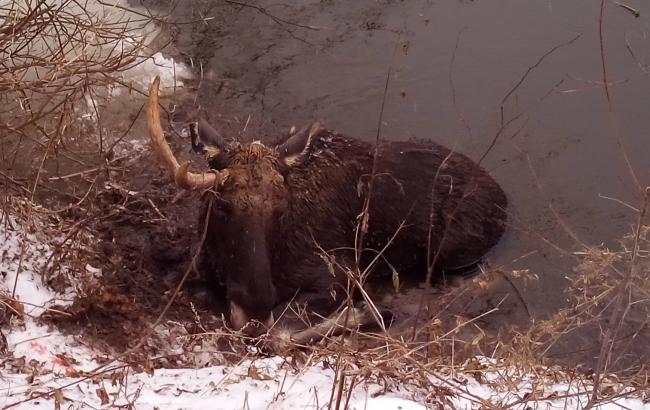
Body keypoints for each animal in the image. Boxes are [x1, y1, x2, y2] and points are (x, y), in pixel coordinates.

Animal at [147, 77, 506, 340]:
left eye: (281, 208)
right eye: (222, 206)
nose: (257, 299)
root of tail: (502, 201)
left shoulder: (340, 275)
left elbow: (280, 332)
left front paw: (366, 312)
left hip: (449, 256)